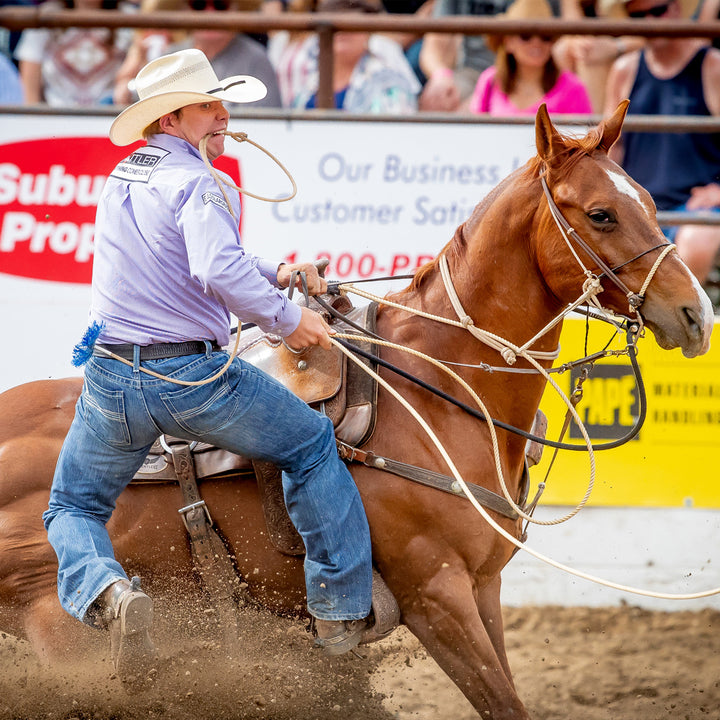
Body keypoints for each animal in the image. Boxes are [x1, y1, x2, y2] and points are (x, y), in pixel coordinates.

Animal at [0, 104, 712, 716]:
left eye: (651, 203)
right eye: (600, 214)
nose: (697, 314)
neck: (437, 390)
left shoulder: (483, 589)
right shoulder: (436, 596)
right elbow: (503, 701)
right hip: (58, 629)